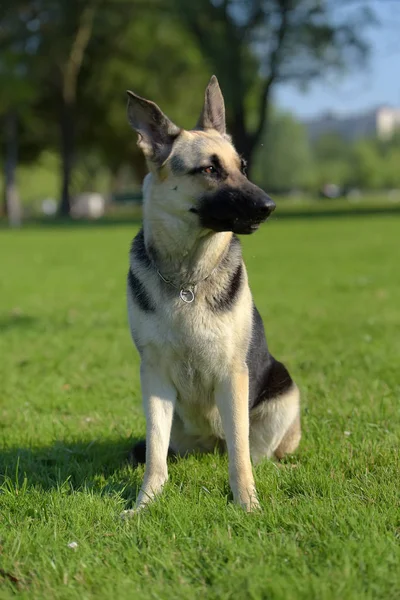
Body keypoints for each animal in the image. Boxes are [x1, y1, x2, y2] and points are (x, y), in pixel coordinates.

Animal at [122, 75, 300, 516]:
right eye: (210, 169)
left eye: (242, 167)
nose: (270, 206)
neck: (187, 277)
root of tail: (207, 446)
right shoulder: (154, 376)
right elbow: (154, 455)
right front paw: (145, 504)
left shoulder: (231, 376)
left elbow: (239, 455)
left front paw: (247, 503)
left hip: (283, 395)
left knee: (254, 452)